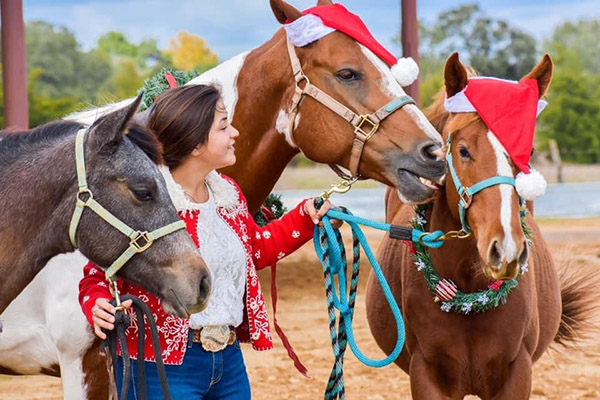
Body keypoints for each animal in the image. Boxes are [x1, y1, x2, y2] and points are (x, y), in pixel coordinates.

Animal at [366, 54, 596, 400]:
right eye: (463, 150)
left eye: (527, 152)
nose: (506, 249)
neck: (470, 293)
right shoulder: (426, 374)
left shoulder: (517, 373)